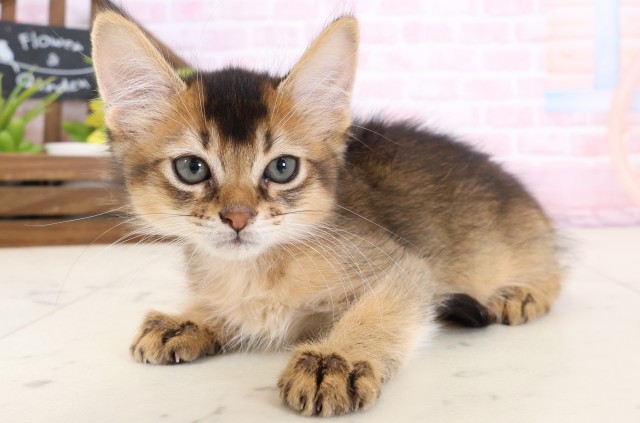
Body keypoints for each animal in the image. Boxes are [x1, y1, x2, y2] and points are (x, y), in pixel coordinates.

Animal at [91, 10, 562, 417]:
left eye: (282, 168)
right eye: (191, 168)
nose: (238, 217)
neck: (254, 270)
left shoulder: (404, 266)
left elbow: (382, 308)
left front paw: (336, 360)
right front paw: (190, 319)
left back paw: (520, 294)